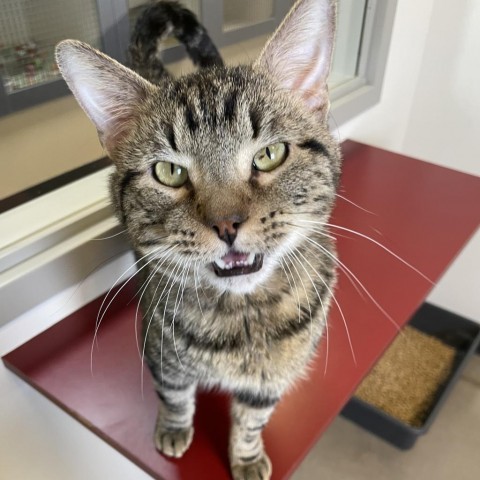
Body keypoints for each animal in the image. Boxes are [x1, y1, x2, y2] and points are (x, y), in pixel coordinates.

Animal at [56, 0, 342, 480]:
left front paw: (246, 456)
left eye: (270, 154)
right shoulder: (159, 351)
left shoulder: (271, 380)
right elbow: (174, 396)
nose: (227, 224)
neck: (241, 316)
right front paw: (174, 429)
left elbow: (251, 421)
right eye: (169, 172)